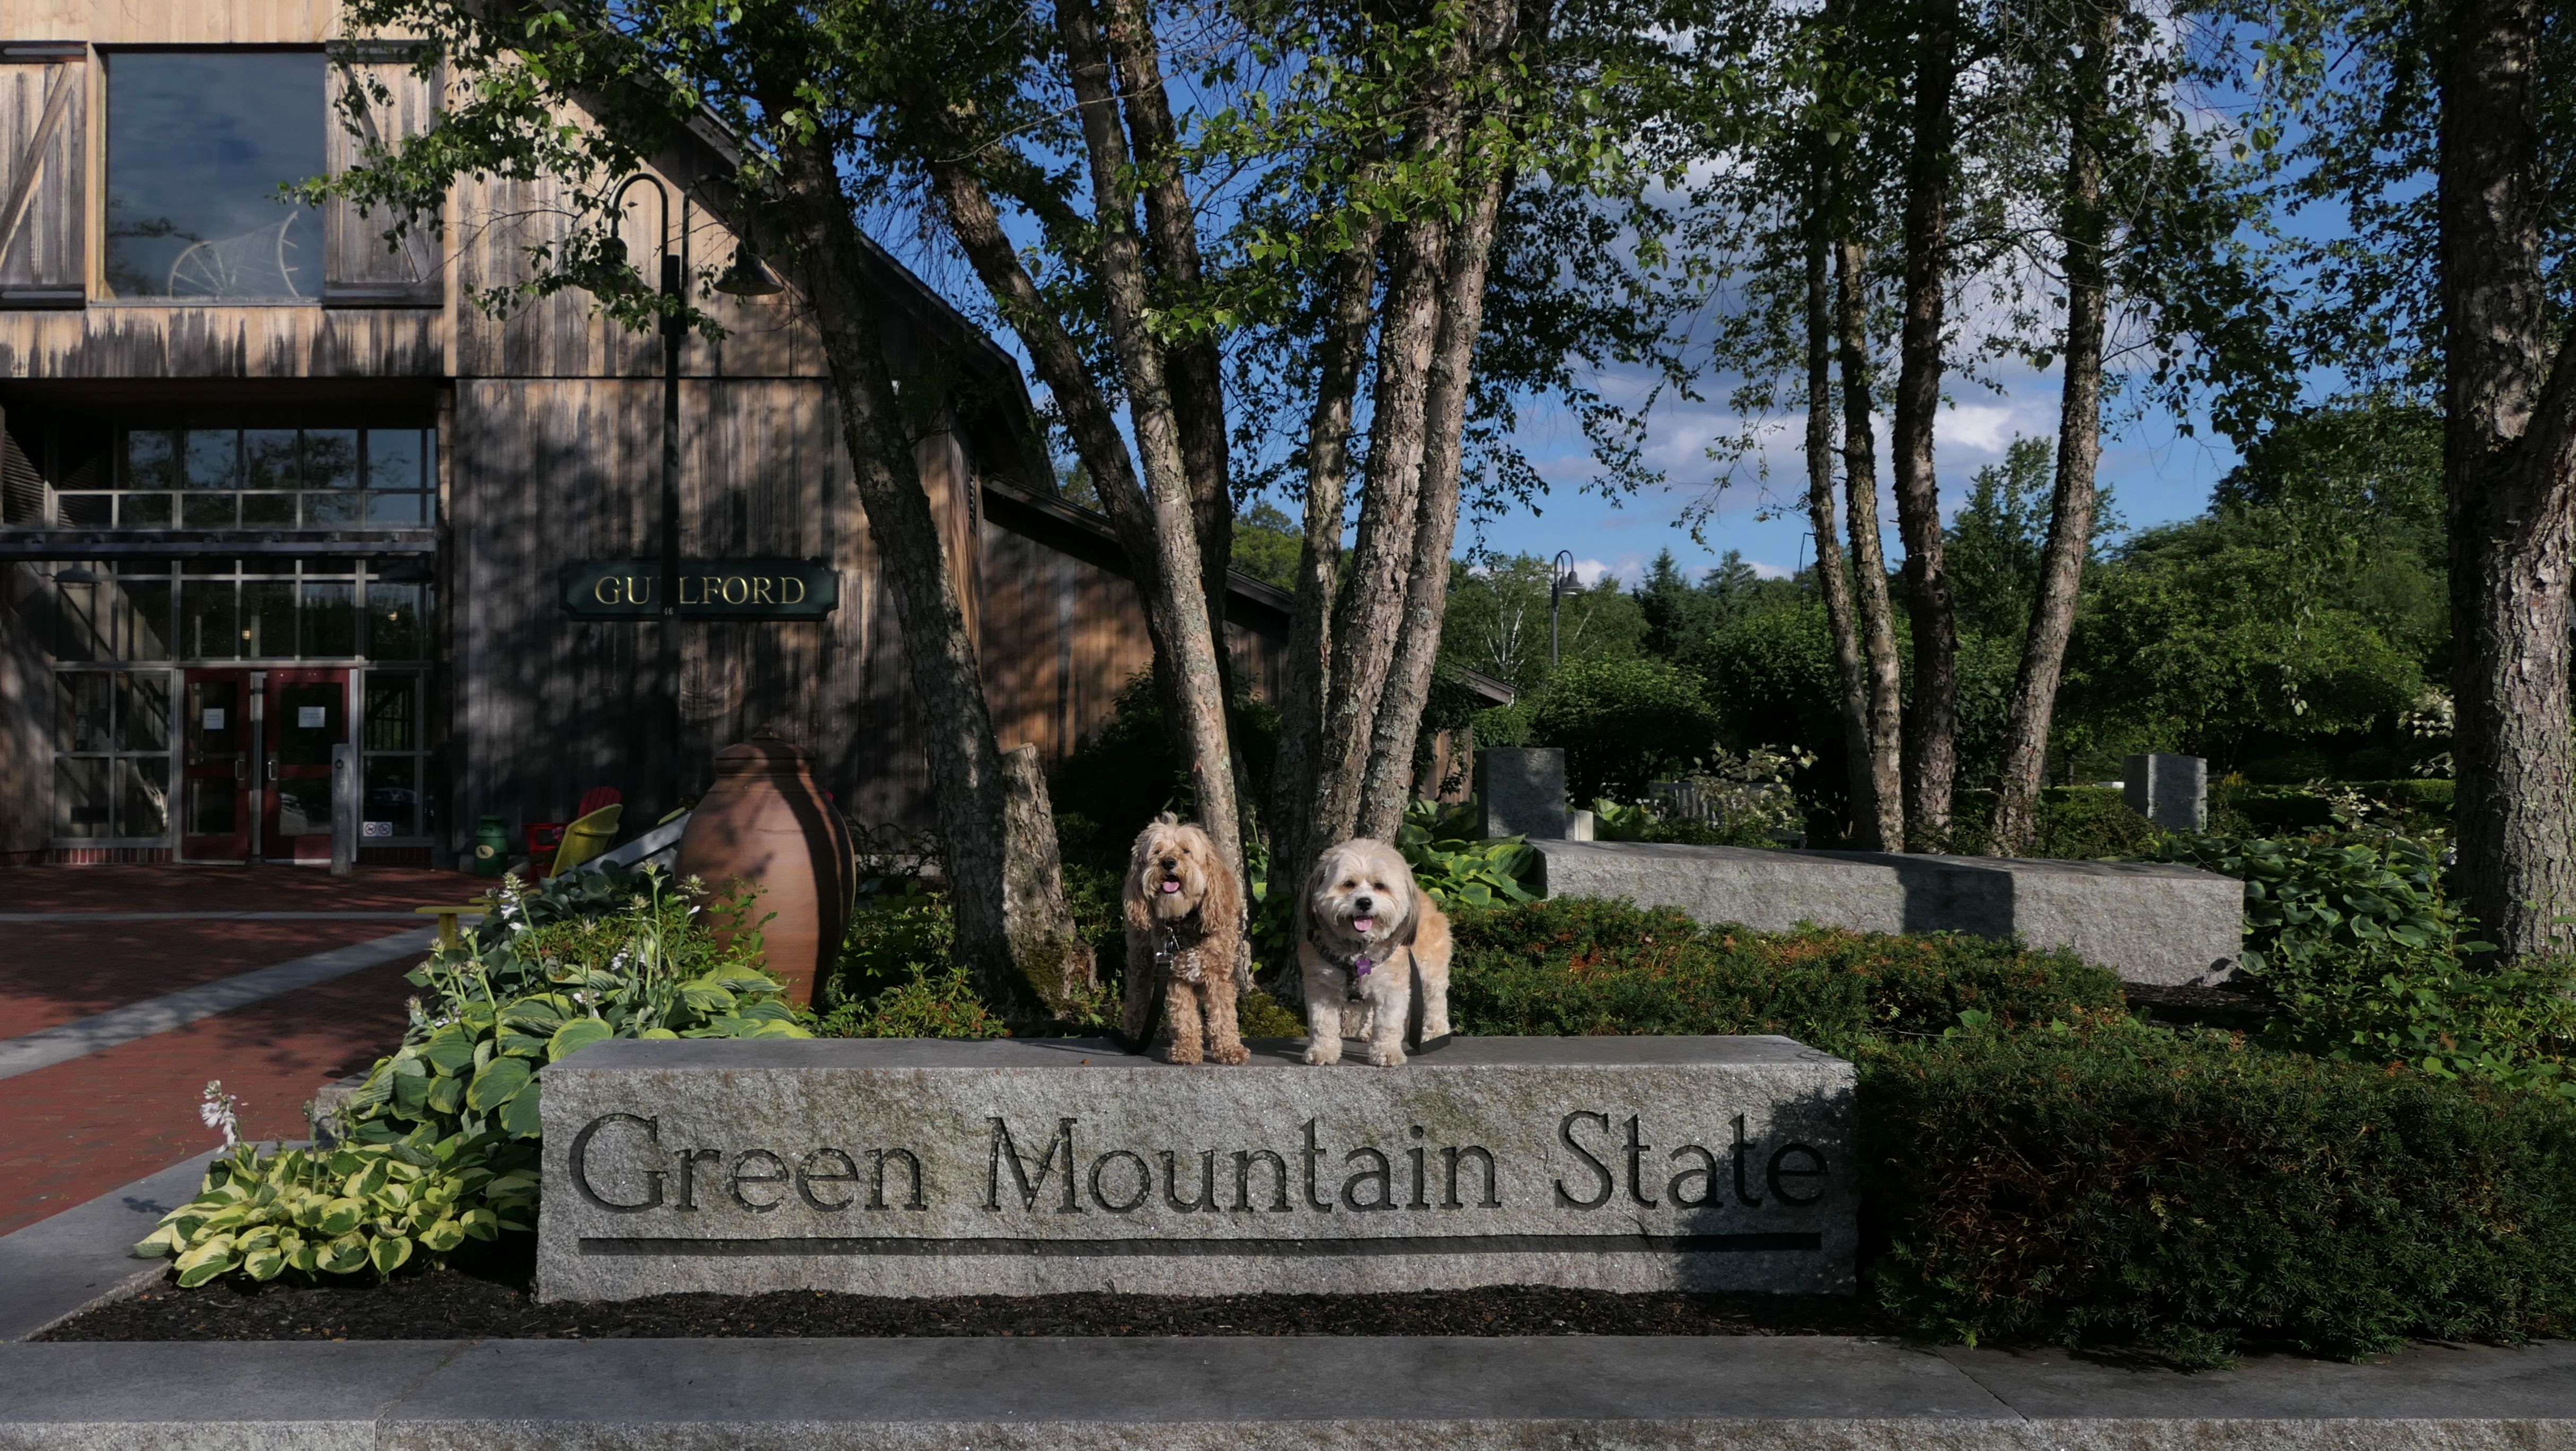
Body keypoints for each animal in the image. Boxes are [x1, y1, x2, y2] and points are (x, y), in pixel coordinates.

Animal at [1122, 814, 1250, 1065]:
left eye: (1186, 851)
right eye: (1157, 851)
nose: (1168, 862)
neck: (1186, 921)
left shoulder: (1218, 975)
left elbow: (1224, 1014)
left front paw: (1230, 1049)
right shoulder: (1175, 977)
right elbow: (1184, 1017)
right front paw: (1186, 1050)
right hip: (1141, 955)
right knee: (1137, 992)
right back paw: (1135, 1032)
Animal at [1297, 837, 1451, 1067]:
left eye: (1380, 886)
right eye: (1348, 884)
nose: (1364, 902)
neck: (1360, 949)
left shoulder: (1392, 988)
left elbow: (1388, 1024)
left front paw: (1387, 1052)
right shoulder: (1321, 987)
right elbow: (1322, 1024)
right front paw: (1323, 1051)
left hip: (1430, 969)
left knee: (1435, 1000)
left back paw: (1434, 1033)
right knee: (1370, 1007)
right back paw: (1367, 1031)